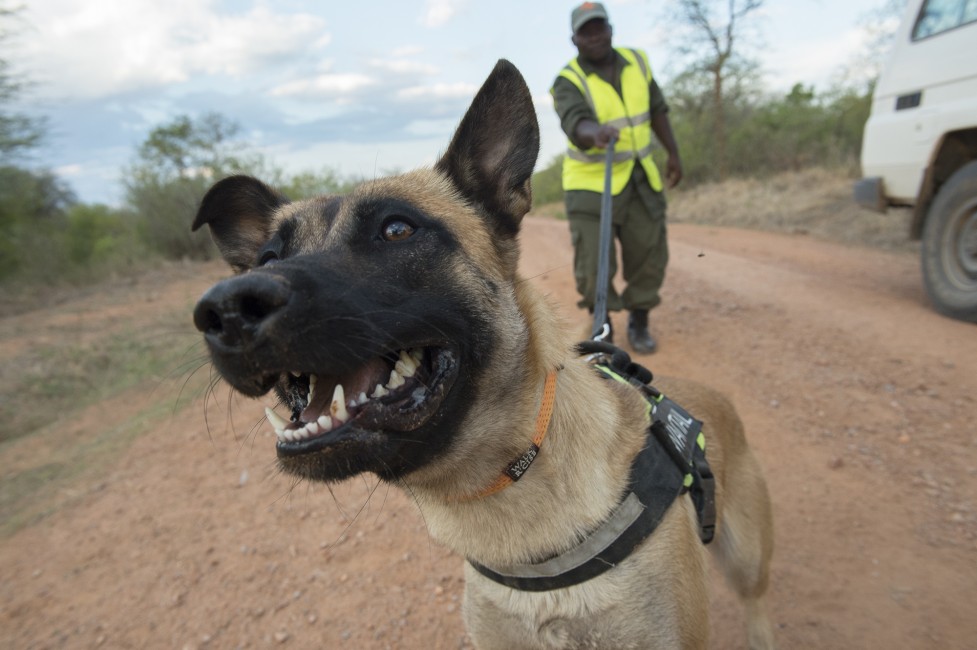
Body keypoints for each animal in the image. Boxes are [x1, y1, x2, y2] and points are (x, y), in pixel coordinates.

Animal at [191, 60, 775, 650]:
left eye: (396, 229)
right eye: (267, 257)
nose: (225, 311)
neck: (509, 490)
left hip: (747, 564)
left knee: (757, 606)